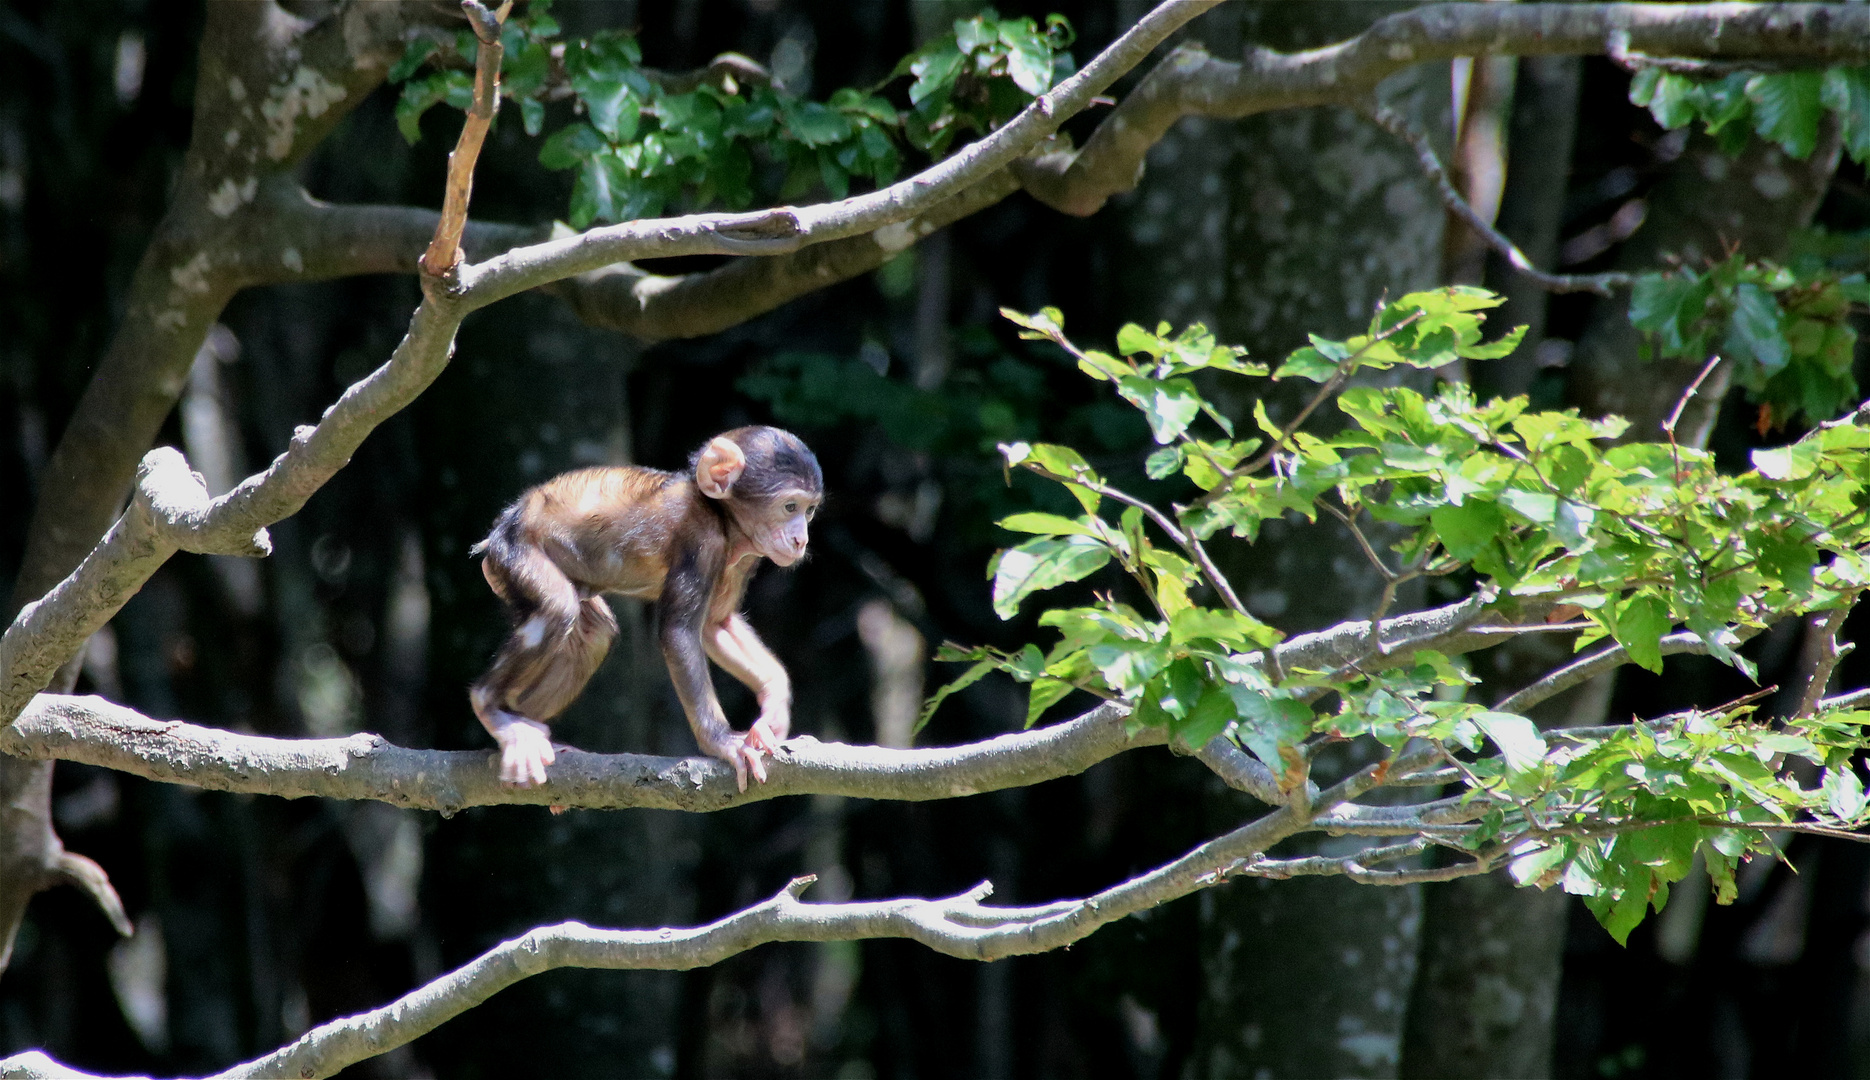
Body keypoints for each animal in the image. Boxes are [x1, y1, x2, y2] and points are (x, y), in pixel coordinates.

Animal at [467, 424, 819, 784]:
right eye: (790, 507)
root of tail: (498, 535)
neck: (721, 516)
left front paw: (774, 705)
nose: (800, 539)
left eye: (809, 510)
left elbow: (715, 625)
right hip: (518, 554)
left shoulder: (743, 559)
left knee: (593, 634)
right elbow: (679, 634)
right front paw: (722, 742)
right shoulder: (702, 541)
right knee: (557, 608)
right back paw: (491, 708)